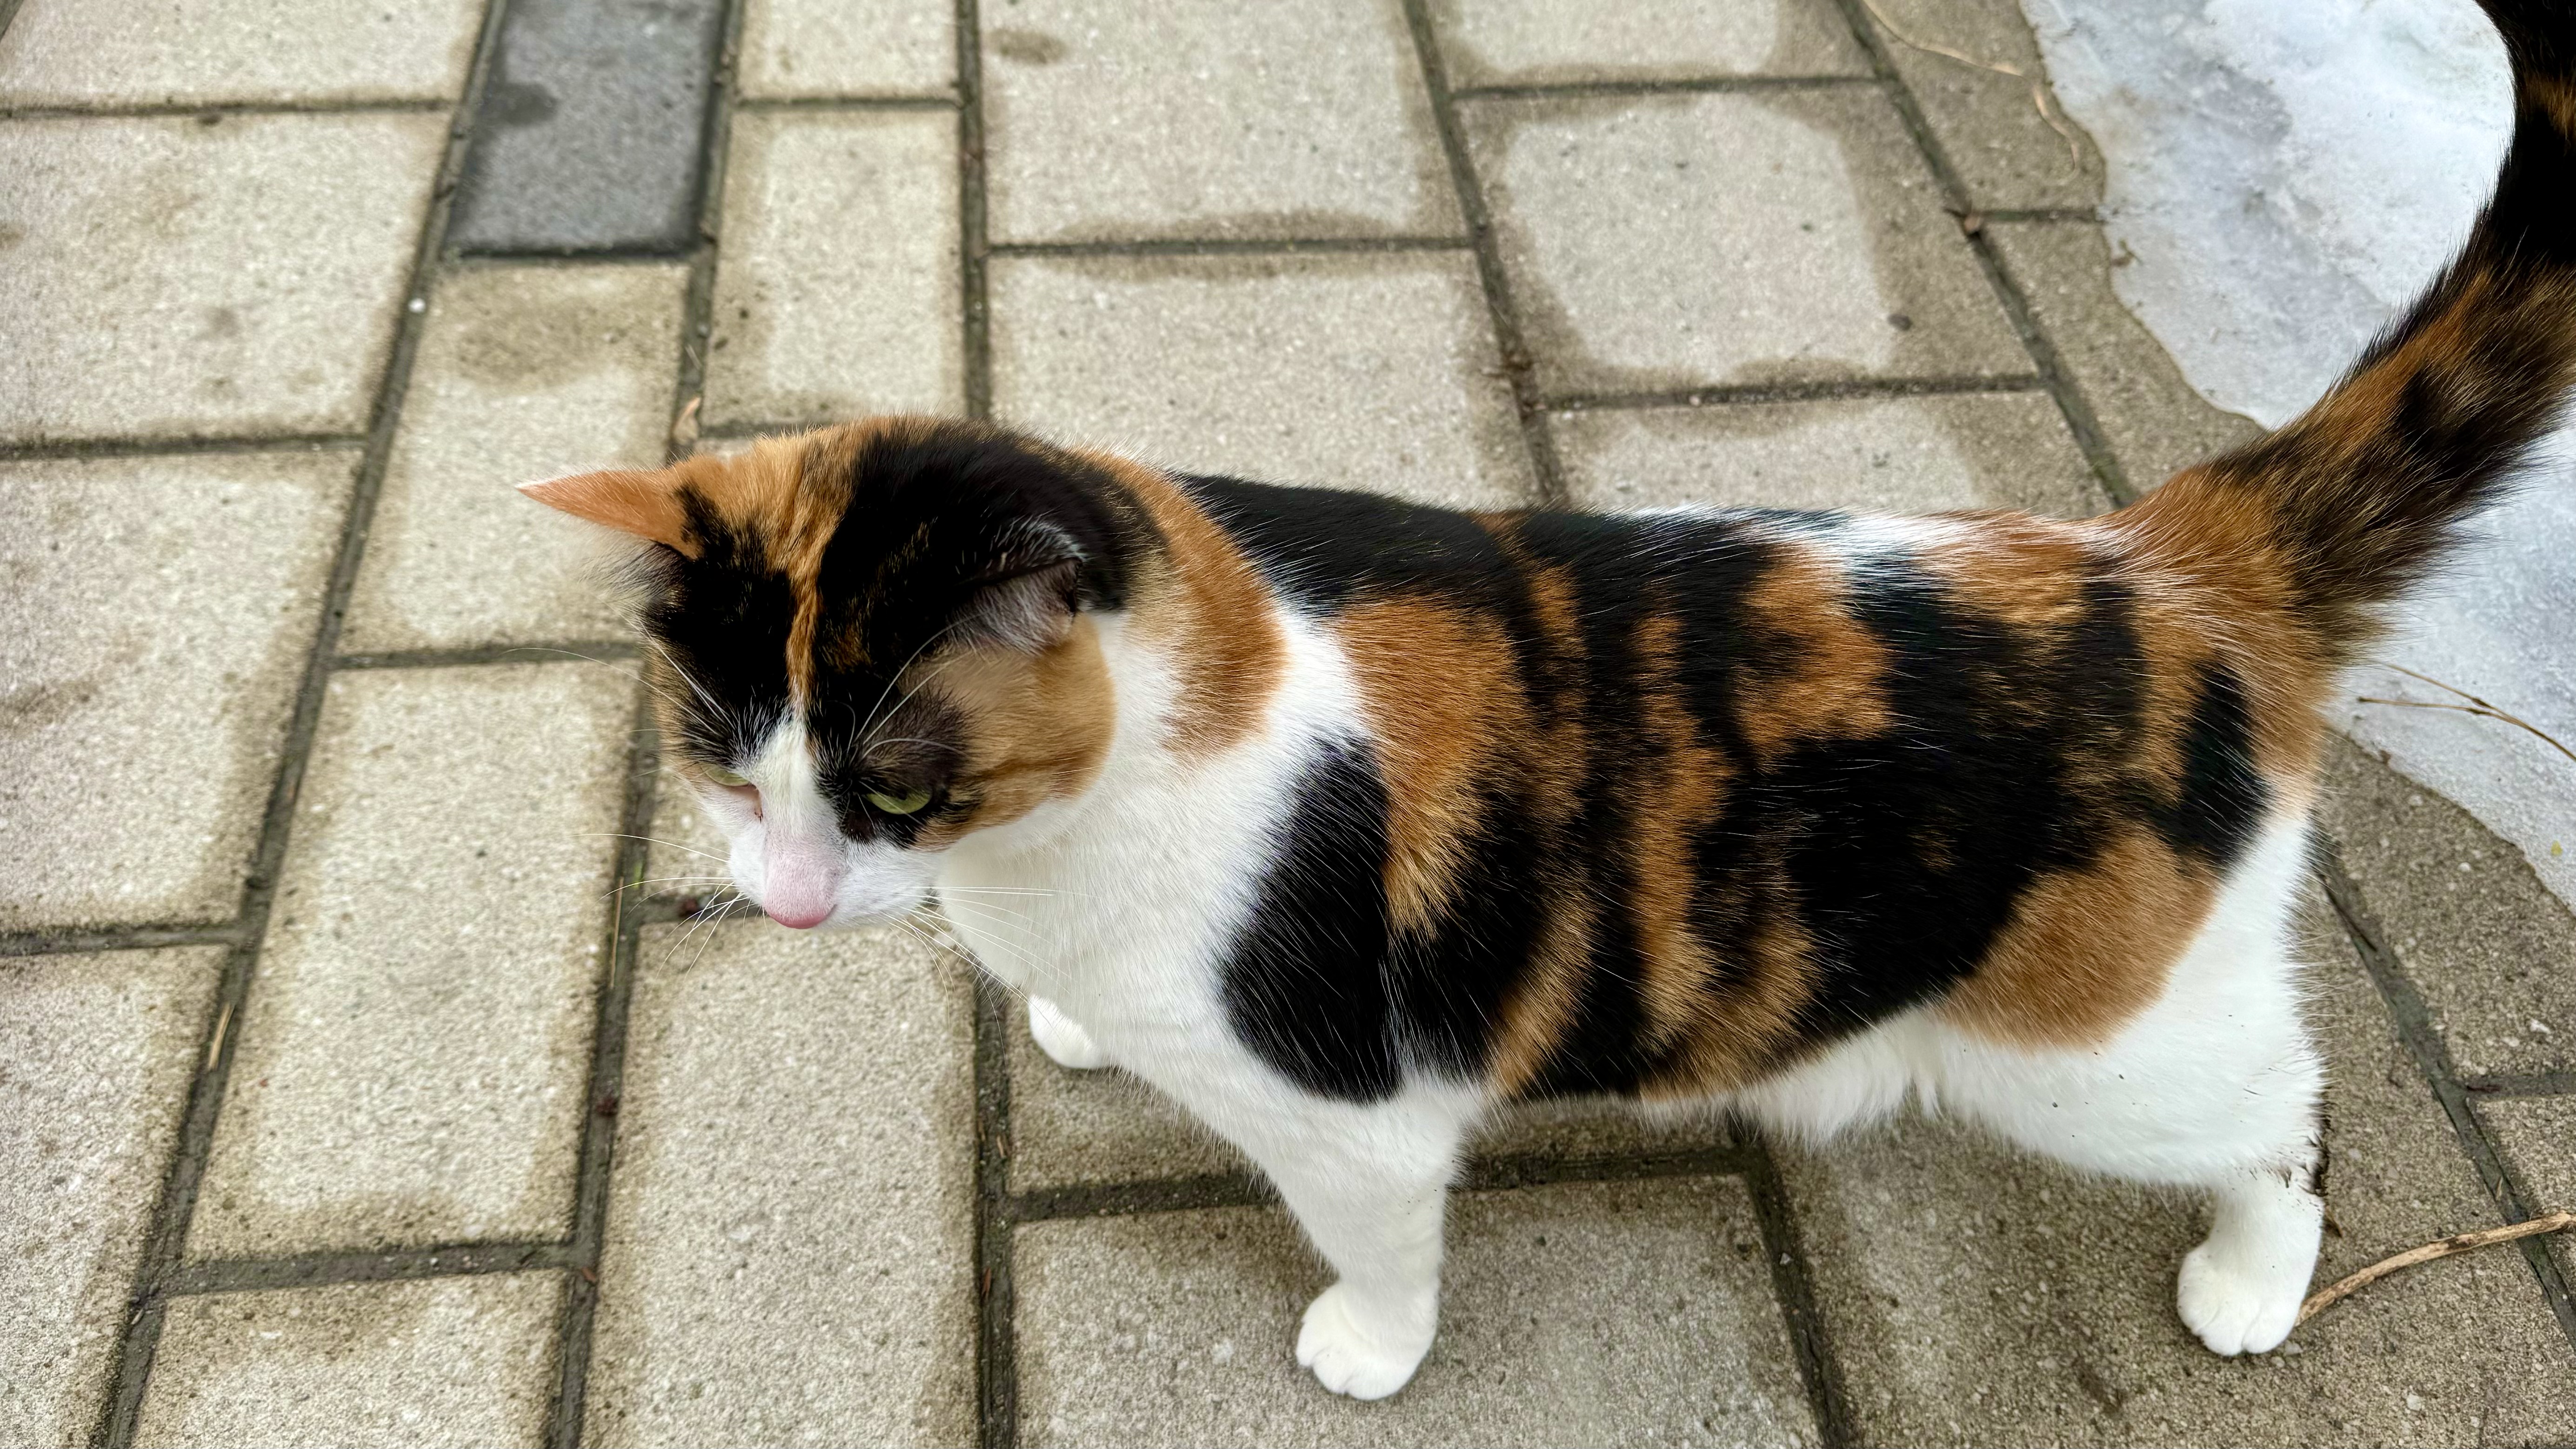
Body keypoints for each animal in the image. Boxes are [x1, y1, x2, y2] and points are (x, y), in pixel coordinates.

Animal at [522, 0, 2576, 1401]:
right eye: (727, 762)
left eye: (893, 785)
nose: (789, 900)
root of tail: (2159, 558)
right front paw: (1072, 1022)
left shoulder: (1354, 1110)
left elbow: (1377, 1240)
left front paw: (1363, 1347)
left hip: (2099, 1048)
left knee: (2286, 1108)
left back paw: (2253, 1276)